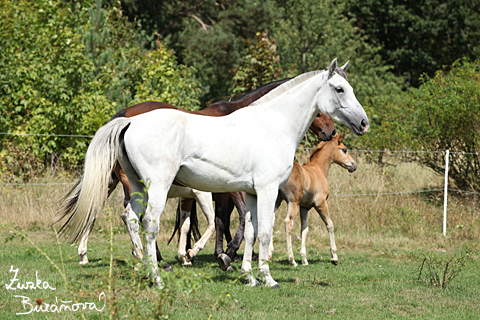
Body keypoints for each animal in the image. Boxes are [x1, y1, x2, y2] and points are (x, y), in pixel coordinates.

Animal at [59, 58, 368, 288]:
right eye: (339, 89)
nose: (363, 123)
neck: (272, 125)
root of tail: (129, 120)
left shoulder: (250, 193)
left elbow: (250, 231)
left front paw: (248, 275)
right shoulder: (265, 191)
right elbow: (264, 232)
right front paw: (267, 278)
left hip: (136, 187)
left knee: (131, 220)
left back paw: (145, 269)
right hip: (156, 188)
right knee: (148, 225)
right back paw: (157, 276)